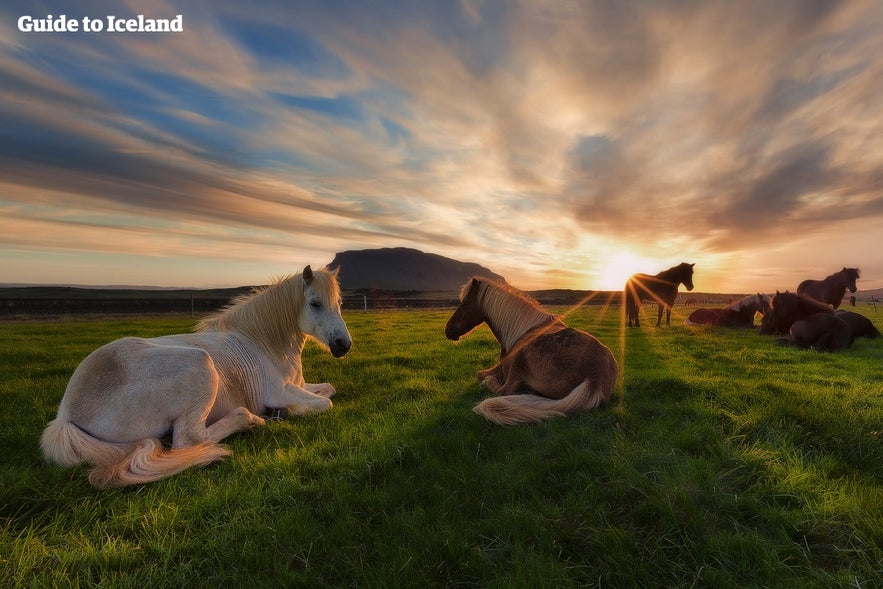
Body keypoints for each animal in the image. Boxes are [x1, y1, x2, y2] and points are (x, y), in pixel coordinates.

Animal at [40, 266, 352, 488]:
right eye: (314, 303)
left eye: (339, 303)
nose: (343, 345)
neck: (263, 342)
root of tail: (66, 414)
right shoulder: (280, 392)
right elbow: (325, 403)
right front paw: (285, 412)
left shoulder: (299, 386)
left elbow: (329, 389)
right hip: (200, 365)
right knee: (190, 439)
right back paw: (252, 420)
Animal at [444, 276, 618, 425]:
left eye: (465, 303)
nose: (448, 330)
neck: (523, 329)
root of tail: (595, 379)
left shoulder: (501, 367)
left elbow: (479, 374)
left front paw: (485, 379)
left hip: (519, 359)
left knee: (505, 390)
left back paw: (489, 382)